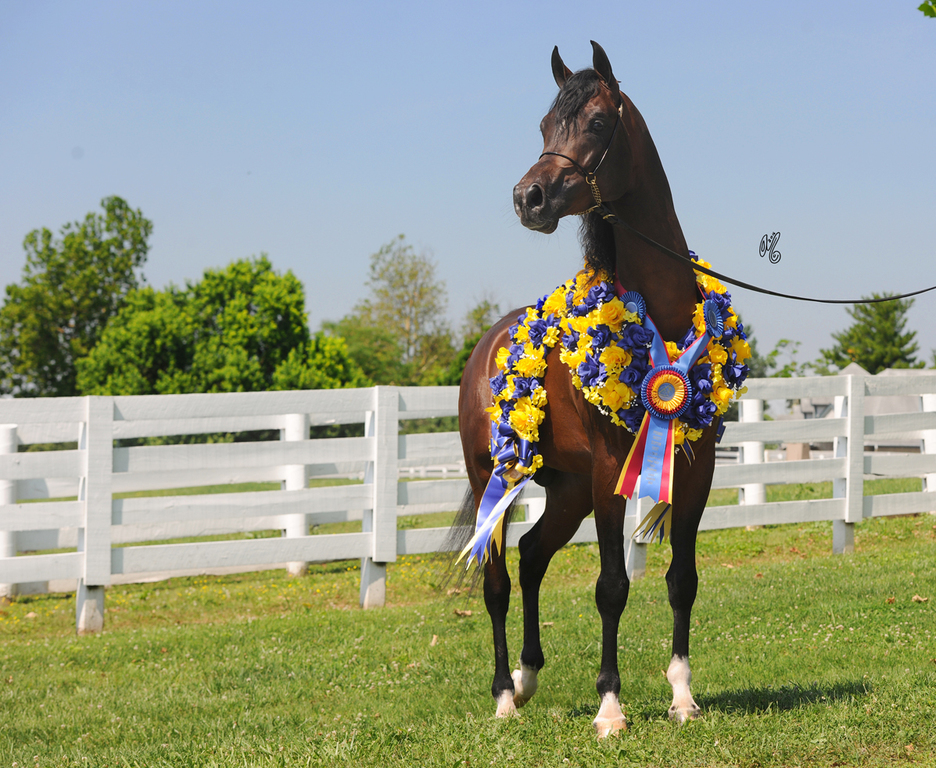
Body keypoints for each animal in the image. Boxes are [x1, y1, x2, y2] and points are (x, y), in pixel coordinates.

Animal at [454, 42, 741, 737]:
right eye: (543, 126)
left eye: (598, 122)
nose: (527, 197)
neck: (662, 316)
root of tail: (485, 346)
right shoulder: (614, 470)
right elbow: (611, 586)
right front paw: (610, 707)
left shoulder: (697, 470)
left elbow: (682, 579)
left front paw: (682, 695)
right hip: (495, 476)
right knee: (498, 581)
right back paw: (504, 696)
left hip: (567, 489)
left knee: (531, 555)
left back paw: (528, 677)